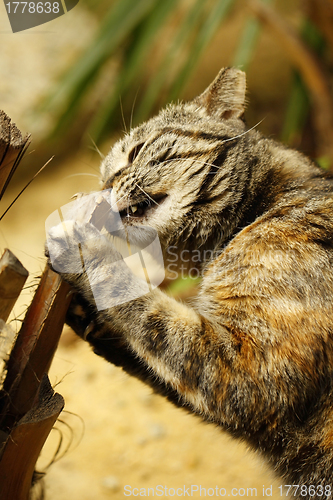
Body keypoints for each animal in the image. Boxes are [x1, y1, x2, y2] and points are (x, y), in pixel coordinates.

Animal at [46, 67, 333, 496]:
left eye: (136, 151)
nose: (103, 186)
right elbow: (158, 360)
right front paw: (88, 316)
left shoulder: (249, 372)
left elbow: (151, 314)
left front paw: (78, 239)